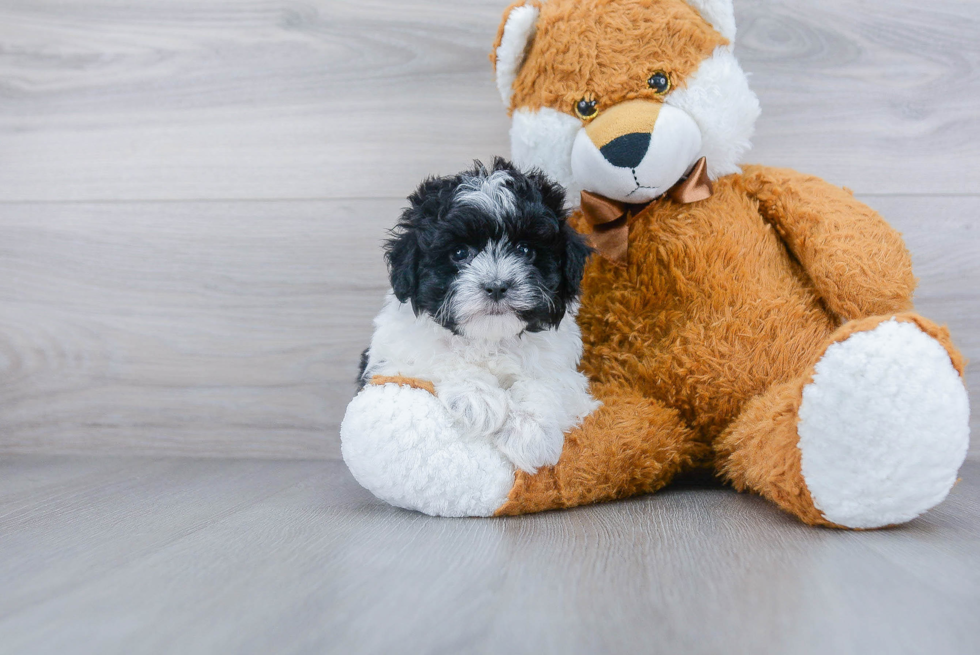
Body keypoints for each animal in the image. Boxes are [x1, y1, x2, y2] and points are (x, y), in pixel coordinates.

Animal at [360, 159, 596, 476]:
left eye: (525, 250)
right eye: (460, 252)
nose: (496, 285)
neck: (489, 338)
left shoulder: (565, 372)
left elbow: (547, 383)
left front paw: (529, 430)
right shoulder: (392, 360)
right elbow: (439, 356)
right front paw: (478, 397)